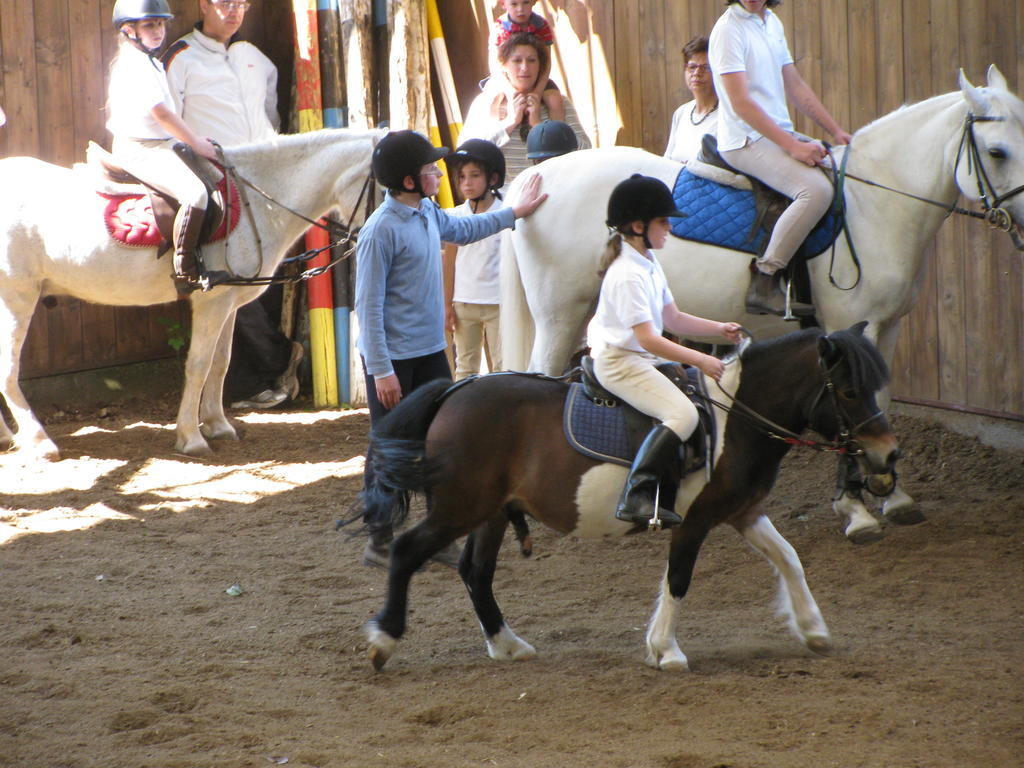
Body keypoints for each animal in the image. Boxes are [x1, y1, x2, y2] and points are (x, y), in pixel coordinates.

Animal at [0, 129, 380, 460]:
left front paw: (217, 425)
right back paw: (40, 442)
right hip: (17, 297)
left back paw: (8, 438)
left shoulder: (228, 304)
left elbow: (221, 363)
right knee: (8, 371)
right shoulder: (212, 303)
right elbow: (199, 364)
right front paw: (191, 437)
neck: (258, 200)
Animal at [364, 325, 901, 671]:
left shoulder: (744, 512)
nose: (888, 454)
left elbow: (789, 558)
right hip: (461, 507)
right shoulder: (694, 520)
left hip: (491, 513)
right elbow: (678, 580)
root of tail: (455, 390)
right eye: (849, 391)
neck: (735, 418)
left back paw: (507, 643)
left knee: (476, 571)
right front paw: (665, 650)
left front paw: (813, 630)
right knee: (408, 551)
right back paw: (385, 640)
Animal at [501, 67, 1024, 548]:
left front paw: (890, 493)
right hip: (559, 313)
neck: (873, 203)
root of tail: (539, 176)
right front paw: (856, 509)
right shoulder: (850, 327)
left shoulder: (888, 326)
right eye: (997, 152)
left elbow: (879, 399)